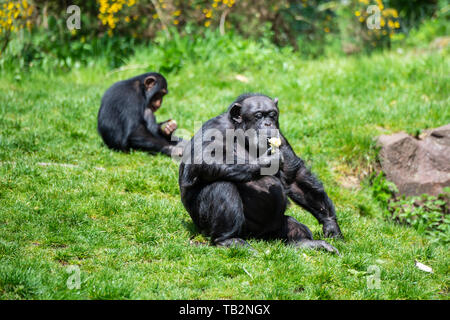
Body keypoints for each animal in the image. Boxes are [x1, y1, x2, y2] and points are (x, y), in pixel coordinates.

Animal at [178, 94, 342, 254]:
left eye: (272, 115)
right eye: (258, 115)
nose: (268, 124)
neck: (241, 134)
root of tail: (258, 237)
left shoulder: (280, 137)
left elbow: (295, 178)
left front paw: (330, 223)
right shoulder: (215, 128)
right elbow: (201, 160)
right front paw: (267, 161)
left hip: (275, 228)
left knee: (291, 225)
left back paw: (307, 243)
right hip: (208, 225)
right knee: (221, 185)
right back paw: (228, 239)